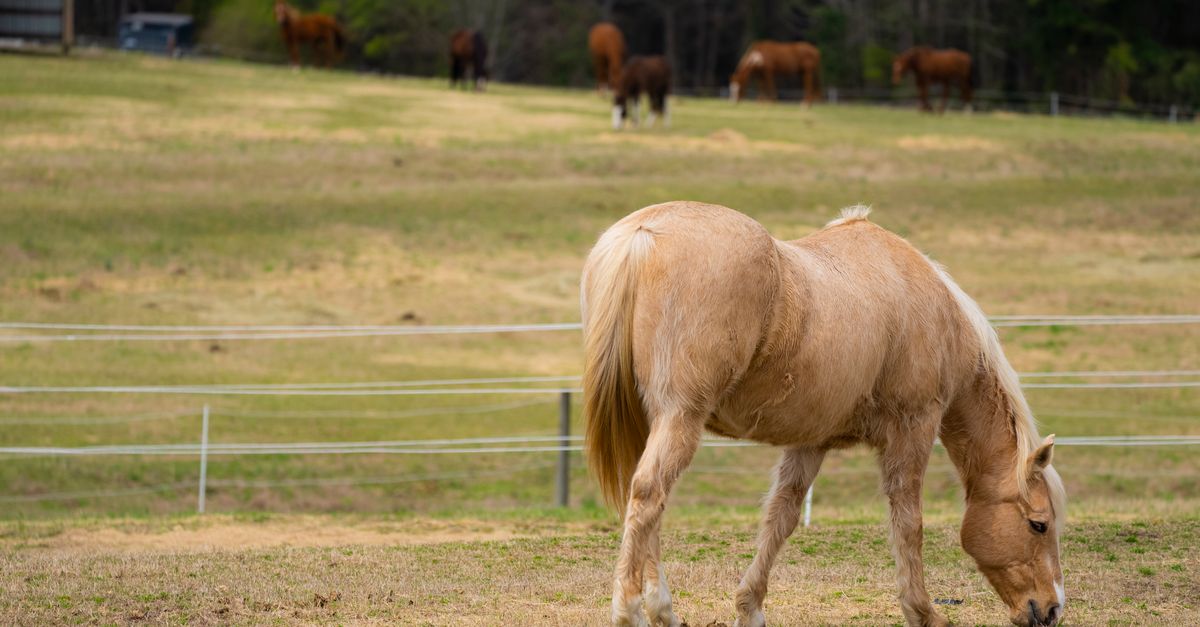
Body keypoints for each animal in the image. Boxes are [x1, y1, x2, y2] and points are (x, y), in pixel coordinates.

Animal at [582, 202, 1066, 627]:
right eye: (1039, 525)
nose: (1052, 608)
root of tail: (642, 235)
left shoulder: (811, 442)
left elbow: (781, 517)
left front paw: (750, 607)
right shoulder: (914, 428)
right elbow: (908, 522)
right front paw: (923, 612)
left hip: (658, 420)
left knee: (650, 502)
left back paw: (661, 610)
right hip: (681, 417)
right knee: (649, 494)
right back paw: (631, 612)